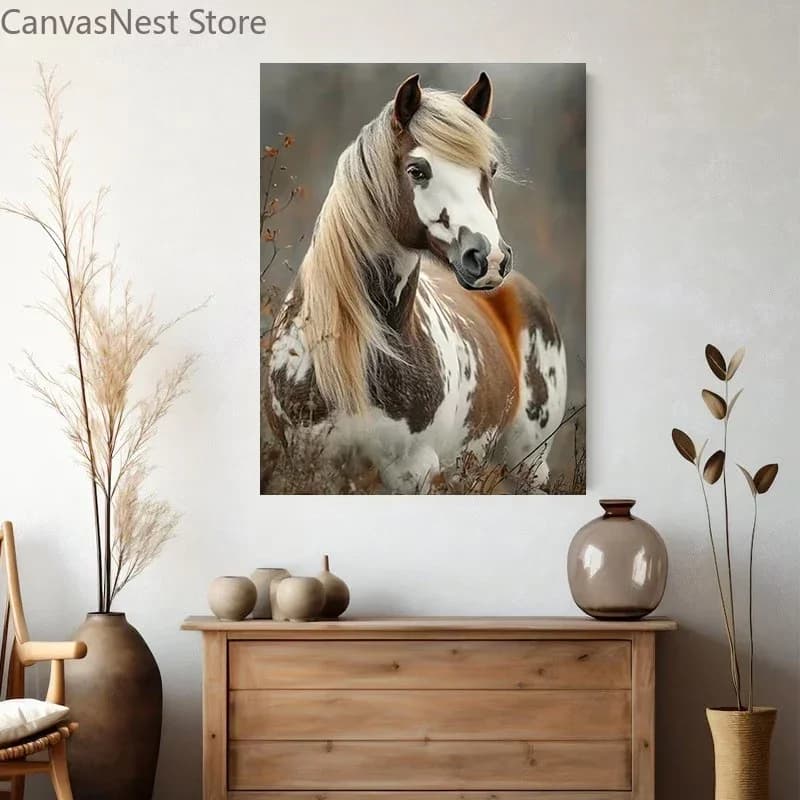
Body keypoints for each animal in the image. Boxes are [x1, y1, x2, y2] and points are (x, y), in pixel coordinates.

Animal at [265, 72, 567, 493]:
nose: (489, 259)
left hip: (528, 467)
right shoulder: (311, 468)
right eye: (417, 170)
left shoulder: (414, 471)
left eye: (490, 170)